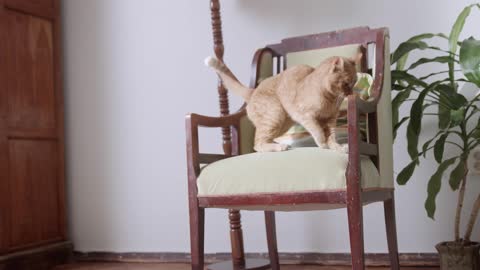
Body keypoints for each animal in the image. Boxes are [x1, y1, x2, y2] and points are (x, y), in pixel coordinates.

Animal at [204, 55, 358, 153]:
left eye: (354, 82)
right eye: (346, 83)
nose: (351, 92)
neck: (330, 99)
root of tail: (253, 91)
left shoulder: (330, 120)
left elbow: (332, 136)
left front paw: (337, 147)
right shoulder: (306, 116)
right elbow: (318, 131)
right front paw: (323, 144)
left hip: (282, 122)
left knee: (264, 139)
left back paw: (279, 143)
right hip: (275, 115)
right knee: (257, 144)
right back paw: (280, 147)